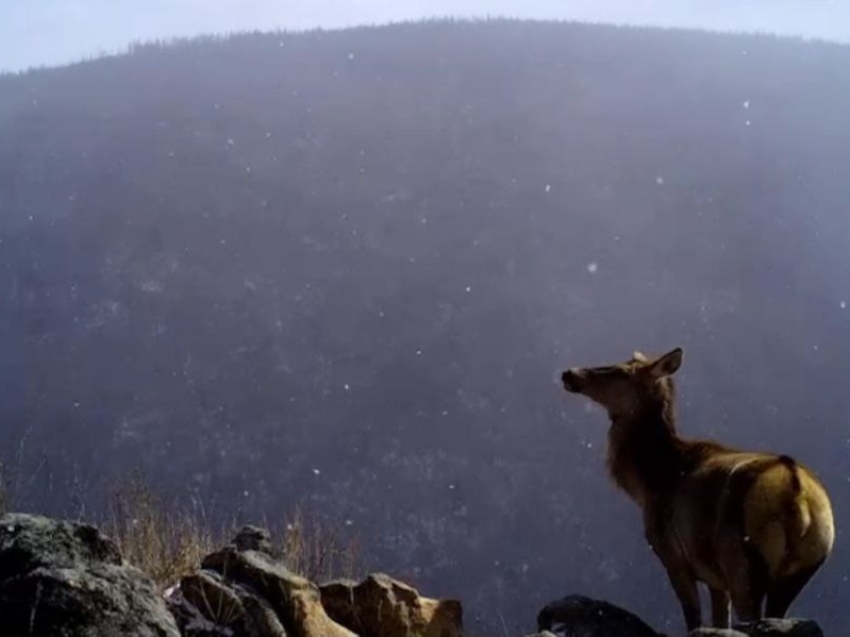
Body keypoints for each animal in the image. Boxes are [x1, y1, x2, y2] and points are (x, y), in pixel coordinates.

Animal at [560, 348, 832, 632]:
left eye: (621, 371)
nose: (568, 373)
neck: (645, 485)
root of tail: (798, 499)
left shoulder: (674, 557)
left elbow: (693, 619)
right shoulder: (715, 578)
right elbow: (719, 620)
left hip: (743, 563)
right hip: (803, 567)